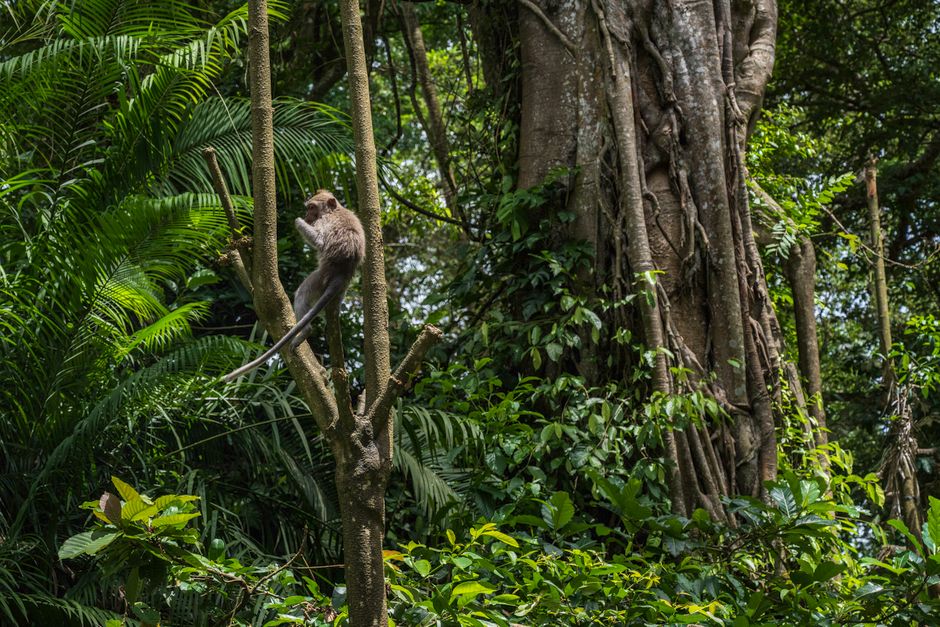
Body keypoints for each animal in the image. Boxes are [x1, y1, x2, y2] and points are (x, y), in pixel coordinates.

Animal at [223, 190, 365, 382]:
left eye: (311, 208)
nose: (307, 215)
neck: (334, 211)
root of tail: (343, 272)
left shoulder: (324, 221)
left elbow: (320, 241)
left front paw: (297, 220)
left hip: (320, 278)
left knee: (302, 294)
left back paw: (305, 331)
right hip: (339, 287)